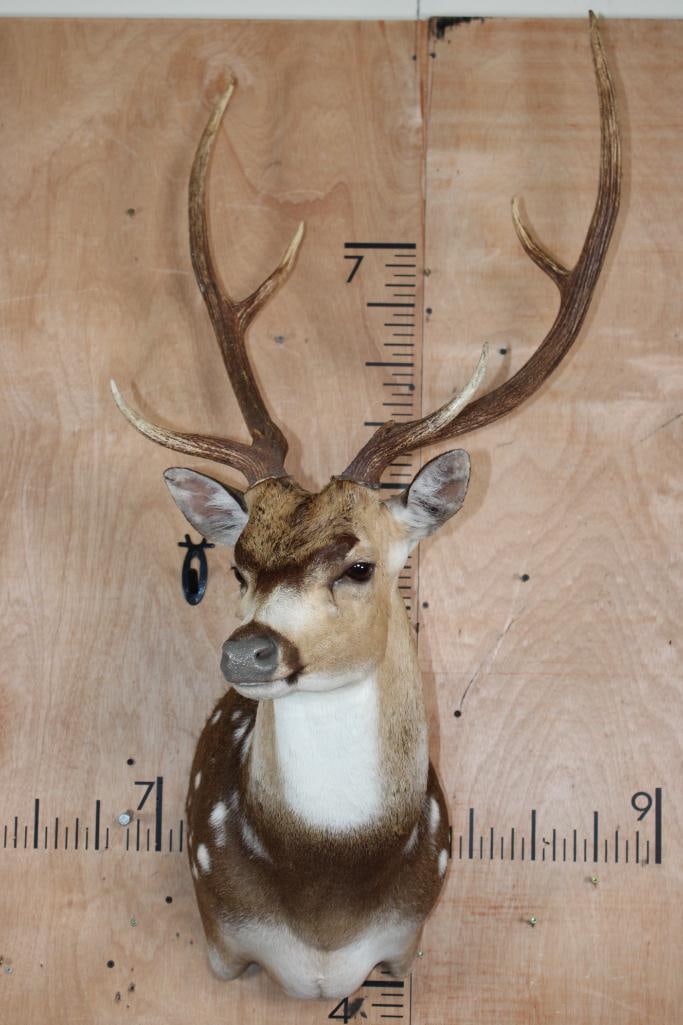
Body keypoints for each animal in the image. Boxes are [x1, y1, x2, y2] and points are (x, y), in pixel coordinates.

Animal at [110, 14, 620, 1002]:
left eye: (359, 564)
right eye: (237, 564)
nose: (249, 648)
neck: (324, 904)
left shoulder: (408, 939)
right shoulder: (218, 936)